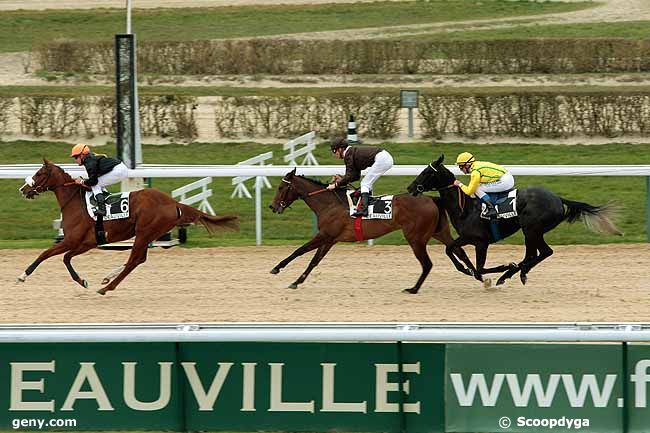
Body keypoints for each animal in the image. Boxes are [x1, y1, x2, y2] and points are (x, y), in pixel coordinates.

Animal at [19, 160, 239, 296]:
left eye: (39, 173)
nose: (23, 189)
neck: (75, 202)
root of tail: (173, 203)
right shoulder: (86, 243)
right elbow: (65, 258)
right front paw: (83, 281)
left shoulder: (73, 240)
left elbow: (47, 254)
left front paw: (23, 275)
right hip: (148, 234)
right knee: (138, 259)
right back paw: (107, 279)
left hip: (143, 232)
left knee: (134, 260)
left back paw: (107, 287)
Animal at [266, 167, 474, 292]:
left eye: (280, 187)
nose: (273, 206)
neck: (329, 204)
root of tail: (431, 198)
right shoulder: (330, 239)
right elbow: (314, 261)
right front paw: (297, 281)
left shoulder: (324, 235)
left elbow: (299, 250)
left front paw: (277, 268)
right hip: (439, 232)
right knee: (458, 250)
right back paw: (476, 274)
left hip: (416, 238)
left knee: (428, 264)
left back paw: (413, 289)